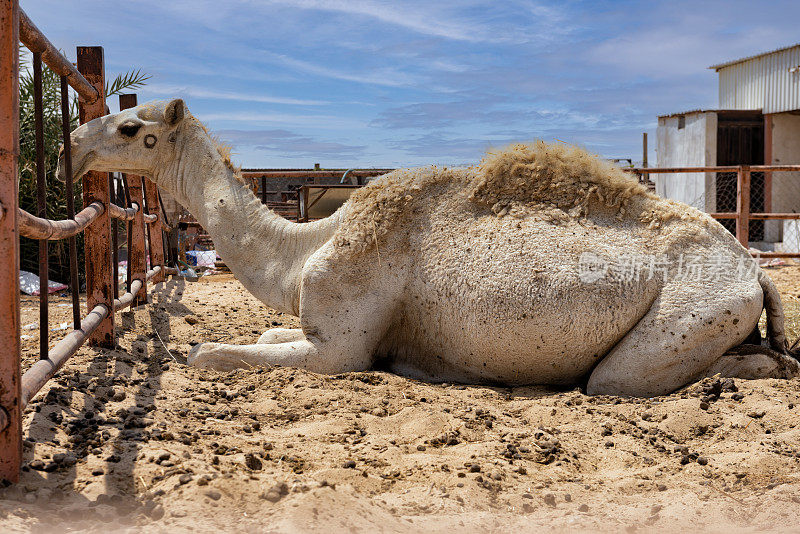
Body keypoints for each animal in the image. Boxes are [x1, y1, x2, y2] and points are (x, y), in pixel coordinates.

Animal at [57, 99, 800, 398]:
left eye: (131, 128)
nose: (70, 141)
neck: (304, 249)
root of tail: (753, 271)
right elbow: (260, 333)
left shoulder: (339, 349)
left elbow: (206, 354)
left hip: (687, 315)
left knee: (626, 378)